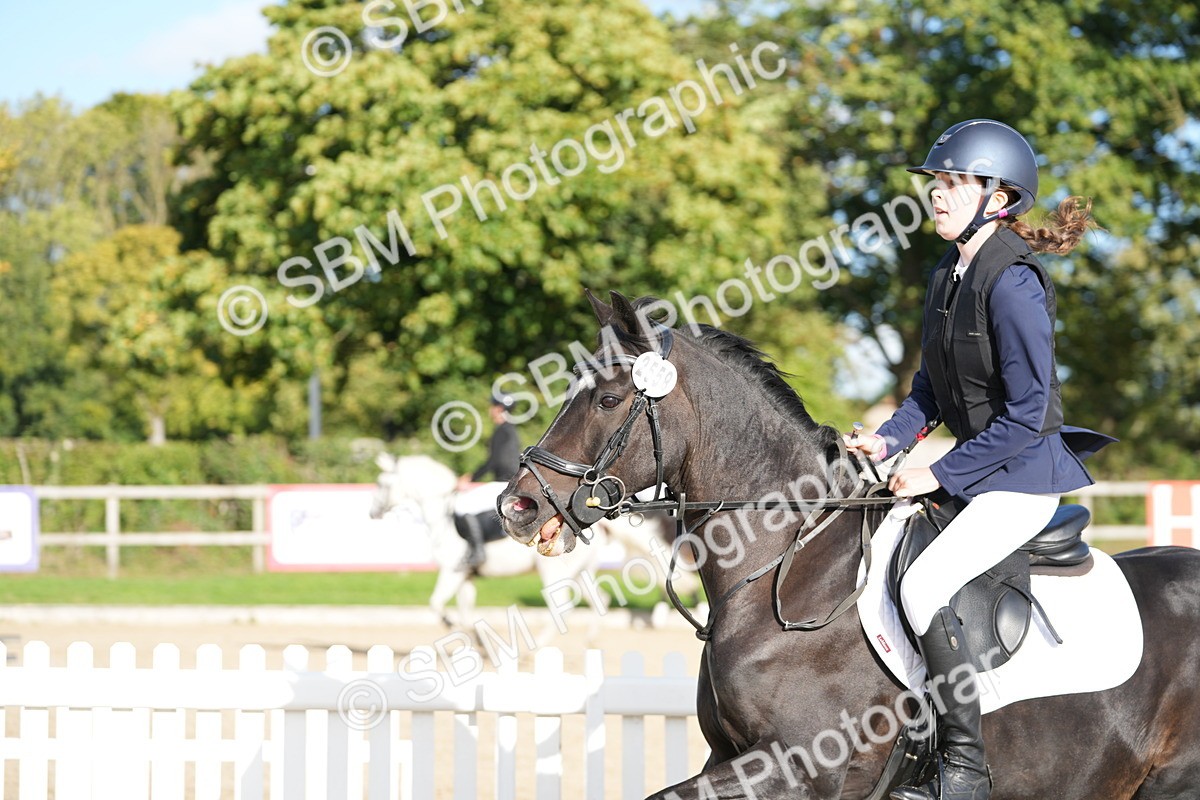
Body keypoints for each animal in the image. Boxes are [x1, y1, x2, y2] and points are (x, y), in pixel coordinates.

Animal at [370, 453, 699, 631]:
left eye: (383, 484)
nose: (373, 512)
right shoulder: (466, 577)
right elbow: (464, 613)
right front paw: (474, 641)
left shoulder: (453, 572)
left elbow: (437, 605)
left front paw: (455, 629)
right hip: (581, 571)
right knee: (599, 601)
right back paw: (590, 643)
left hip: (554, 571)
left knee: (562, 606)